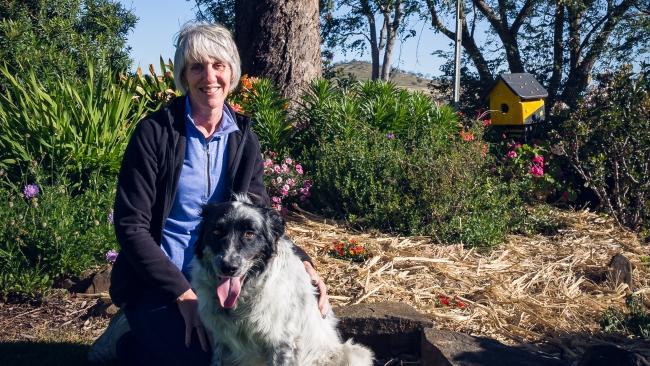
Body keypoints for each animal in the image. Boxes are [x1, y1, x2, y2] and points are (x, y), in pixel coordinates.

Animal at [190, 194, 372, 366]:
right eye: (216, 232)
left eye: (249, 234)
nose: (228, 267)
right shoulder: (222, 341)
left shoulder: (281, 343)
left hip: (353, 353)